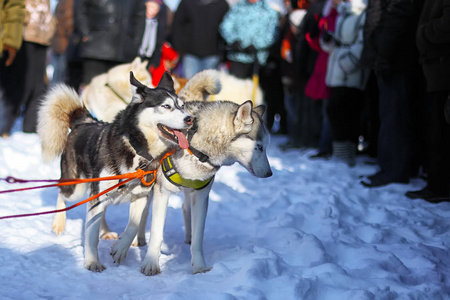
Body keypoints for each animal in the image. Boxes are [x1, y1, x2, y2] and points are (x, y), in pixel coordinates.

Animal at [37, 71, 193, 272]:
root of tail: (83, 122)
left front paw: (120, 249)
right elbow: (91, 235)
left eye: (182, 105)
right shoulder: (98, 193)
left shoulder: (141, 196)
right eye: (166, 106)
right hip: (76, 187)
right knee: (62, 192)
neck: (136, 149)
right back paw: (59, 223)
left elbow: (133, 226)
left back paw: (104, 230)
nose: (190, 119)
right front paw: (92, 262)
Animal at [110, 69, 270, 276]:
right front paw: (151, 263)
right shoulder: (162, 192)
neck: (196, 145)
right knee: (144, 213)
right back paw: (138, 240)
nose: (269, 173)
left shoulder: (201, 196)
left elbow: (199, 236)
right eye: (259, 147)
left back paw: (187, 237)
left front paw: (199, 266)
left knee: (185, 209)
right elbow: (156, 232)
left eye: (266, 147)